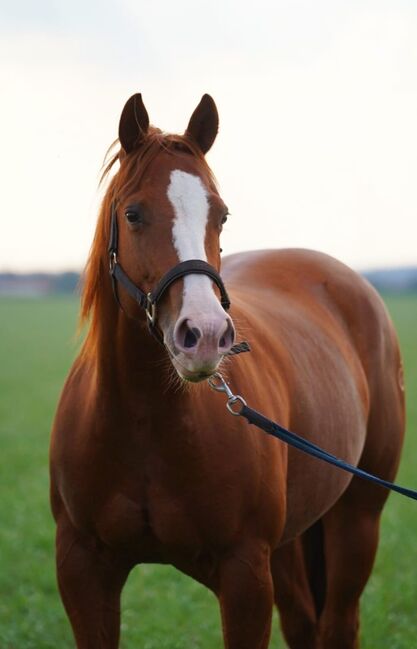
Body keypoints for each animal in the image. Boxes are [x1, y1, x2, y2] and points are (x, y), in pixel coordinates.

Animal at [48, 92, 404, 648]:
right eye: (133, 213)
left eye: (221, 214)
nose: (207, 335)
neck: (143, 421)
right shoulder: (82, 570)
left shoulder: (244, 576)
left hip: (358, 519)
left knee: (338, 622)